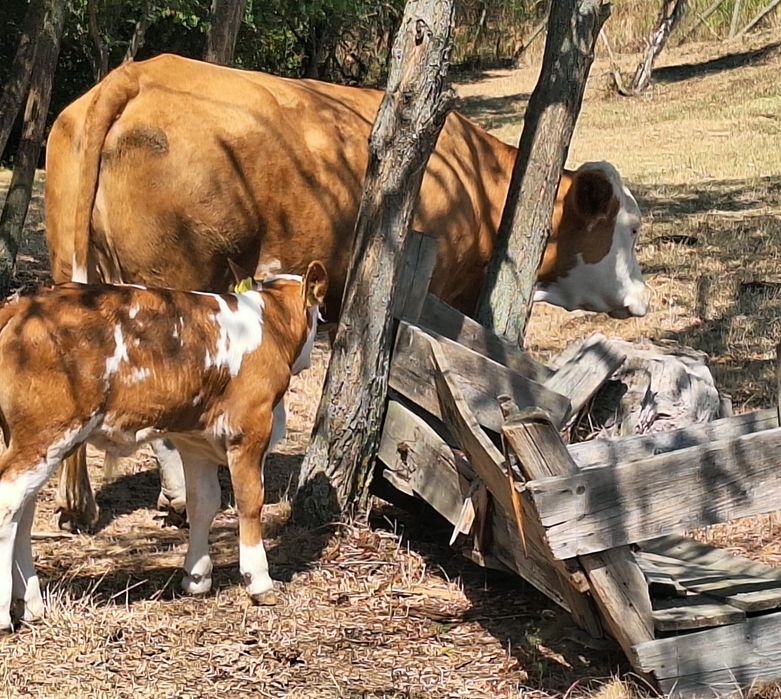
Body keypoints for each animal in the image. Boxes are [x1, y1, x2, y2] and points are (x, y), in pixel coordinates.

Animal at [0, 262, 328, 632]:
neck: (267, 324)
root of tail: (26, 305)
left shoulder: (196, 441)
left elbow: (203, 503)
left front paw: (196, 577)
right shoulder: (249, 431)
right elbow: (249, 501)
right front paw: (259, 581)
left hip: (34, 440)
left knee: (24, 513)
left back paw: (30, 605)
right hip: (47, 434)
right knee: (9, 505)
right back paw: (5, 614)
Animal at [44, 53, 650, 531]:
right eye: (631, 227)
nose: (643, 298)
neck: (480, 182)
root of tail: (139, 73)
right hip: (178, 283)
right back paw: (181, 496)